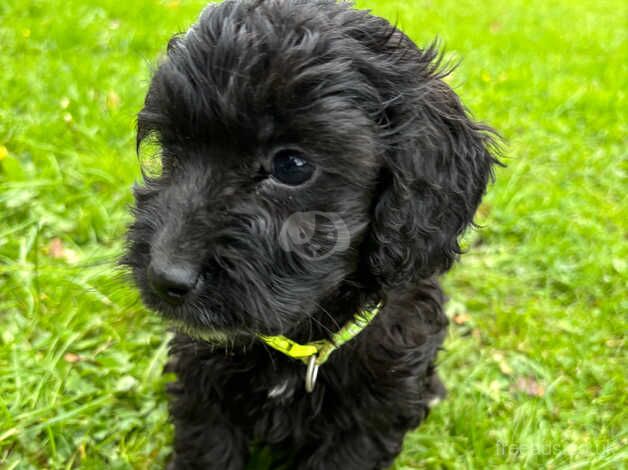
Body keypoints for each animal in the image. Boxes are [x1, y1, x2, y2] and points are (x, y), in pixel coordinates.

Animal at [124, 1, 500, 468]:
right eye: (171, 148)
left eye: (292, 166)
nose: (164, 278)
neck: (300, 344)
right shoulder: (201, 383)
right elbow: (206, 447)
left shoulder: (373, 413)